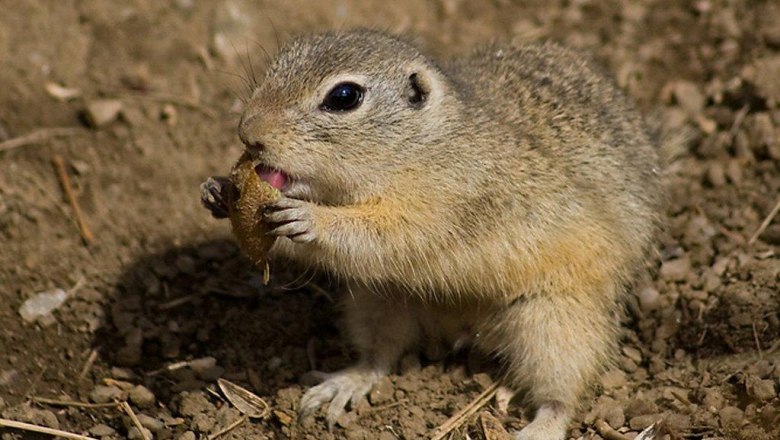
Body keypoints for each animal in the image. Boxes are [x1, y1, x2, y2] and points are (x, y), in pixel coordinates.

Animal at [200, 29, 660, 438]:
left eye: (344, 96)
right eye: (279, 62)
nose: (248, 132)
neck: (419, 146)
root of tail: (464, 329)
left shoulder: (442, 204)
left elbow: (381, 235)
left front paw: (309, 219)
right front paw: (217, 192)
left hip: (556, 321)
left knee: (562, 393)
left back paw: (539, 429)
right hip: (379, 301)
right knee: (380, 354)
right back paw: (344, 385)